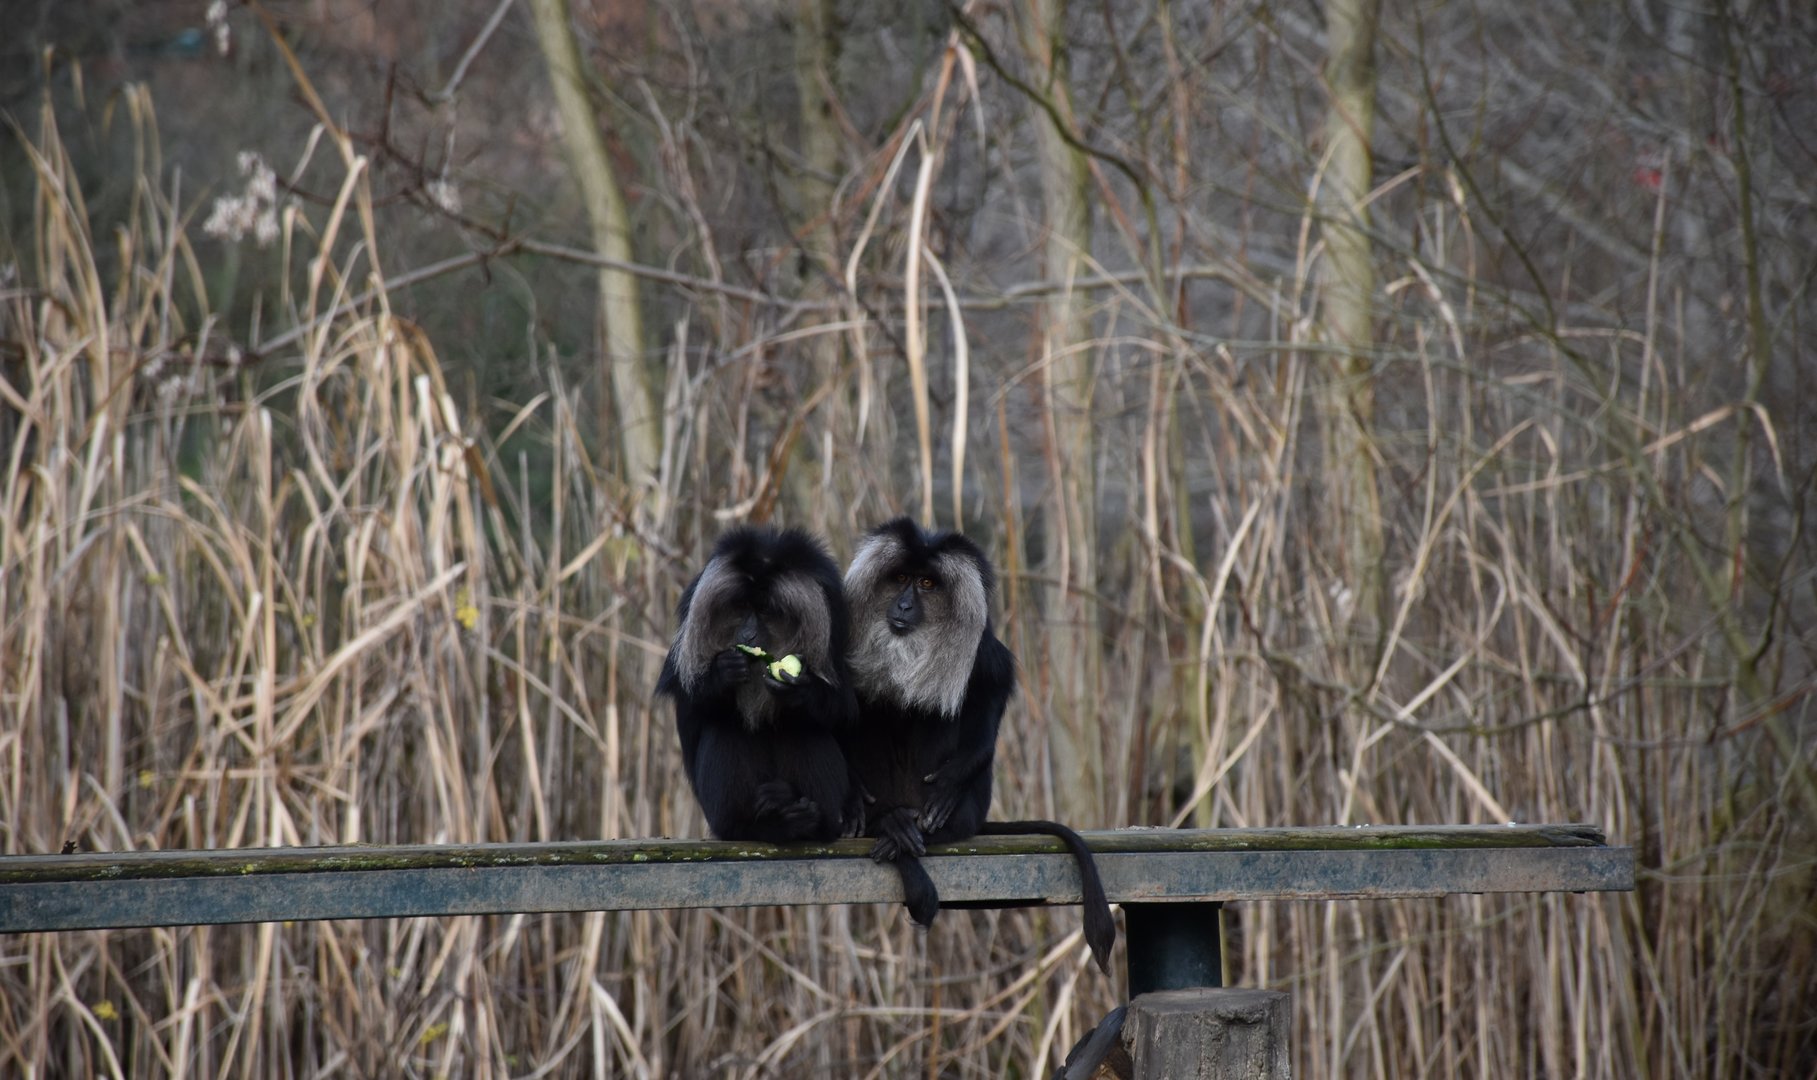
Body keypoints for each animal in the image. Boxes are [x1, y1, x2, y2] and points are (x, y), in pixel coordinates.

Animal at [657, 525, 858, 843]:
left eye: (765, 611)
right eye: (741, 607)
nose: (748, 636)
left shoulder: (836, 618)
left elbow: (845, 710)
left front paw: (801, 690)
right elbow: (686, 695)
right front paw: (721, 674)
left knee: (804, 728)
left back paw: (810, 820)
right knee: (725, 727)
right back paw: (755, 826)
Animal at [837, 517, 1116, 972]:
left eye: (927, 583)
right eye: (899, 579)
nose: (904, 607)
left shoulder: (980, 646)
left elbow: (993, 686)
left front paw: (950, 782)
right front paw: (857, 799)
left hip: (968, 809)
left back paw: (910, 826)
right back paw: (887, 822)